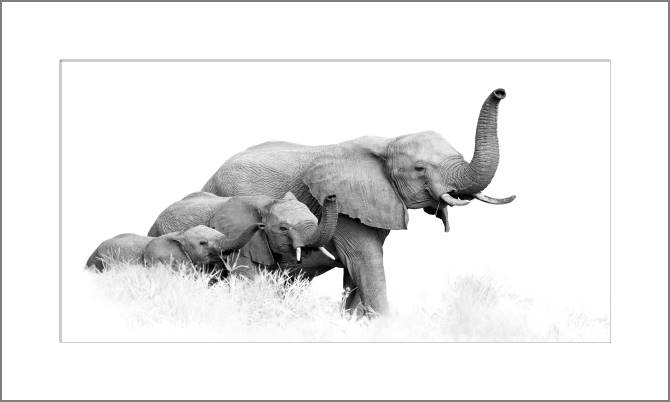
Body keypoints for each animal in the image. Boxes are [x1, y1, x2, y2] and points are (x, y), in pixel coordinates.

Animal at [202, 88, 516, 315]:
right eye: (420, 169)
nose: (500, 91)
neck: (387, 143)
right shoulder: (346, 210)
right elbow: (366, 263)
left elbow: (356, 275)